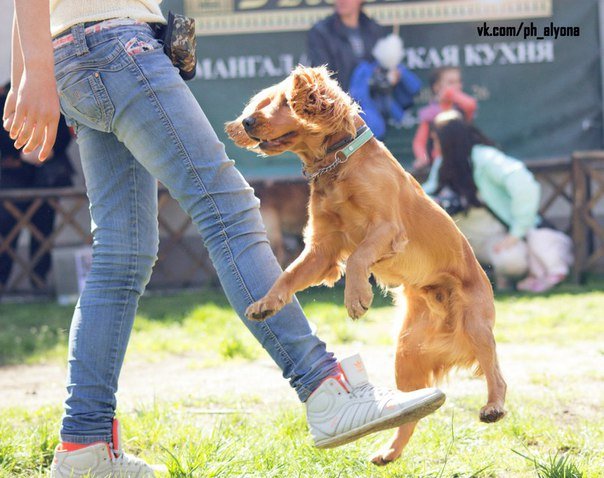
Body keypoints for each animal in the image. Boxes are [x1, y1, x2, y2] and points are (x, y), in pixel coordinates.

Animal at [225, 65, 504, 464]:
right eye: (263, 102)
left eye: (284, 102)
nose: (247, 122)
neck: (341, 163)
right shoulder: (322, 249)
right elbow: (289, 274)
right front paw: (266, 303)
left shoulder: (387, 228)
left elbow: (359, 256)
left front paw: (356, 297)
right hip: (406, 354)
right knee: (412, 418)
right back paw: (389, 449)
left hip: (475, 323)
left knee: (495, 369)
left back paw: (494, 406)